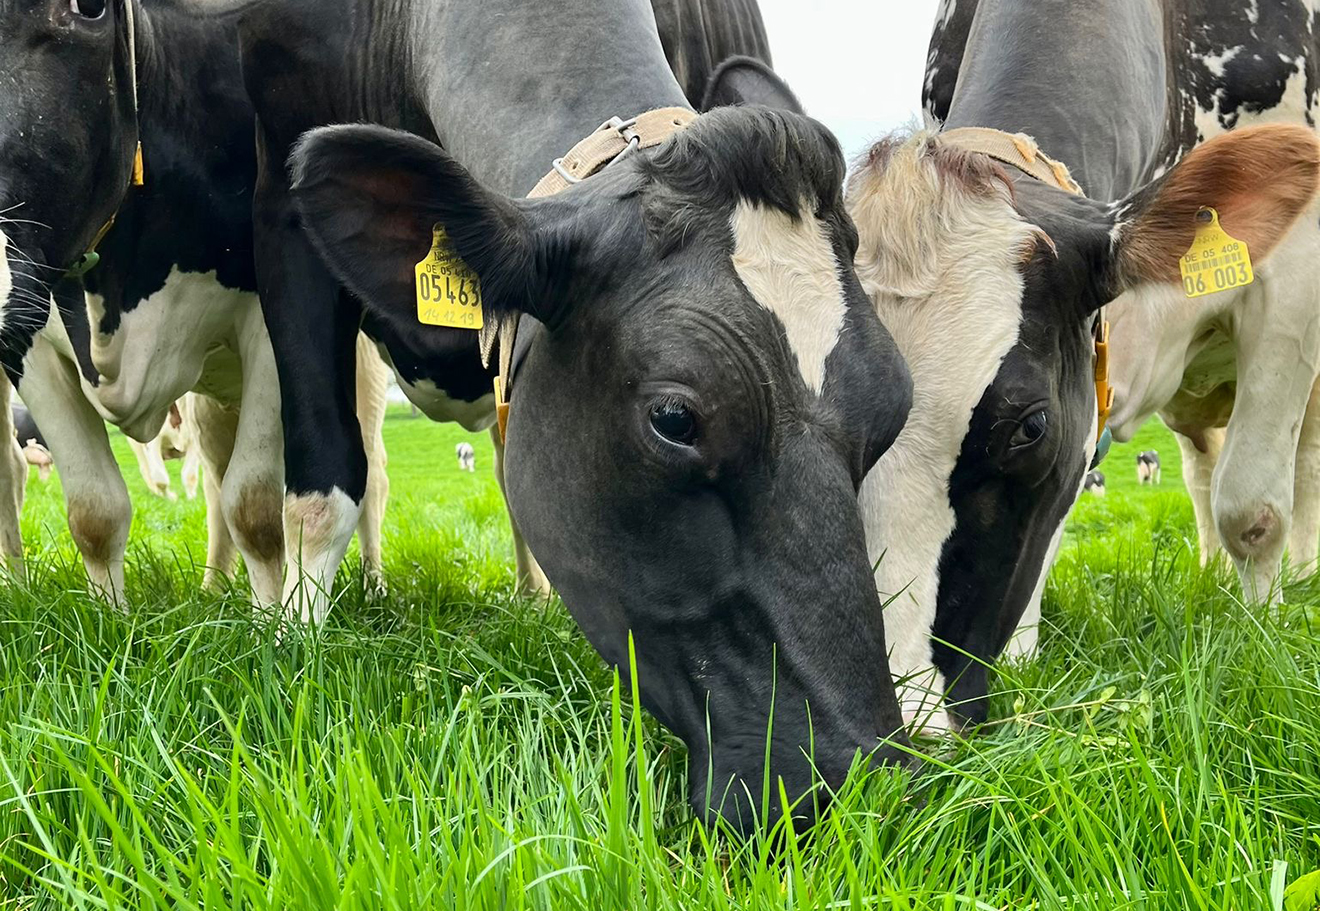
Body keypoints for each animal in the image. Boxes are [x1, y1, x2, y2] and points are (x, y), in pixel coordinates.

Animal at [238, 0, 914, 832]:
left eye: (897, 408)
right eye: (674, 418)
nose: (867, 778)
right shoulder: (278, 200)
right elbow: (324, 483)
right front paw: (291, 646)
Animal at [843, 0, 1319, 732]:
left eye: (1029, 426)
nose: (903, 733)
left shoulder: (1294, 274)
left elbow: (1253, 508)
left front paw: (1263, 636)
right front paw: (1022, 657)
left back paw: (1296, 583)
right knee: (1200, 468)